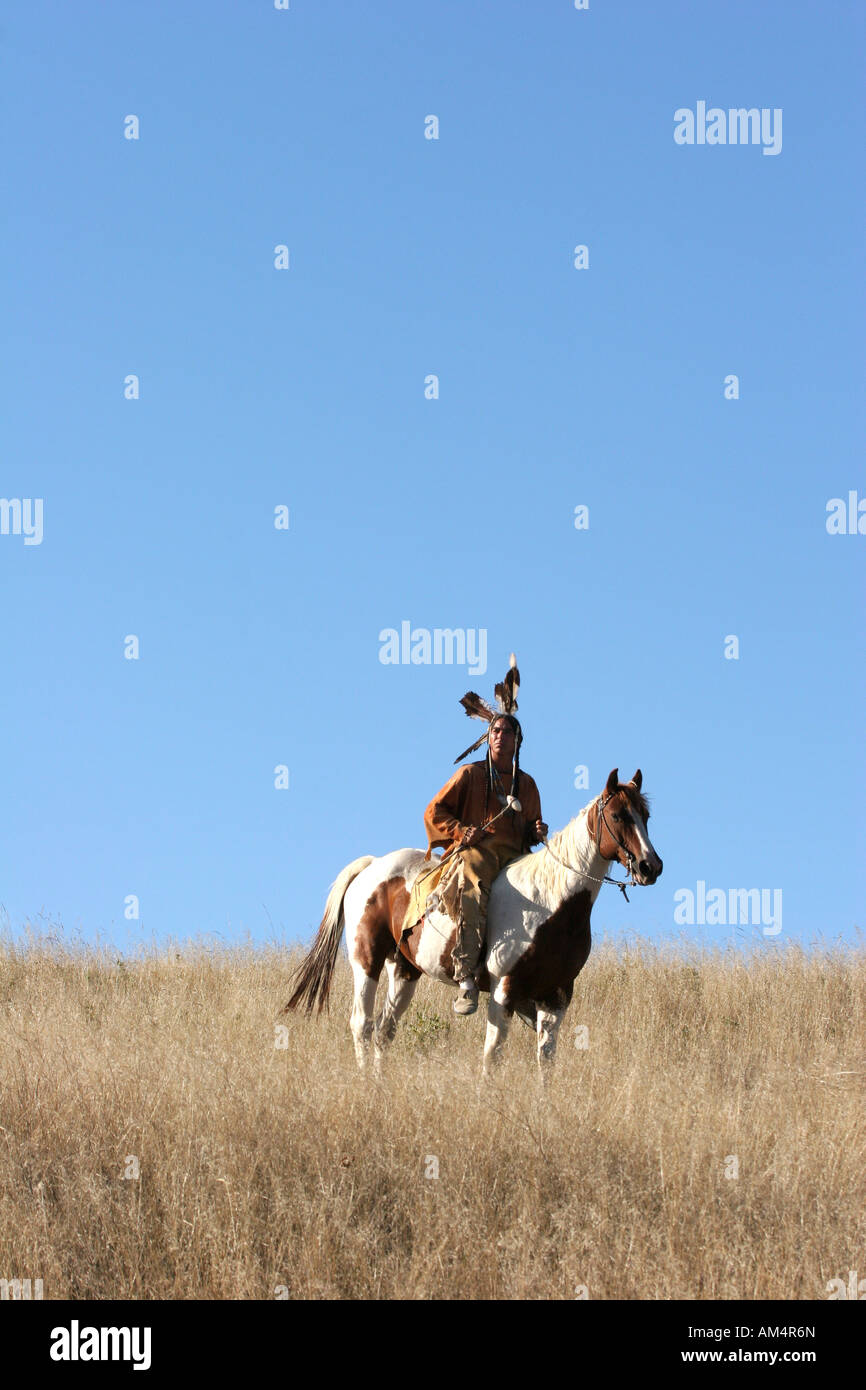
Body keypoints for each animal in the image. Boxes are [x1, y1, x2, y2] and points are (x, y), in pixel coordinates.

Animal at [284, 772, 664, 1073]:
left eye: (645, 815)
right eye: (617, 814)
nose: (650, 866)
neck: (551, 904)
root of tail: (372, 865)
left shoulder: (557, 996)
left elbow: (546, 1059)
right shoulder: (503, 988)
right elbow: (492, 1055)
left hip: (404, 970)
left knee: (384, 1030)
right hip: (367, 960)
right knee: (362, 1024)